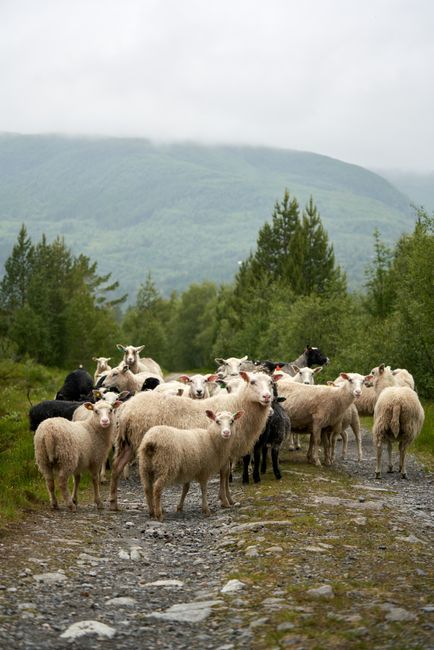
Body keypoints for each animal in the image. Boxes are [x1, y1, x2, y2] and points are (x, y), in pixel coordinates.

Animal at [109, 370, 278, 511]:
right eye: (252, 382)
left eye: (271, 382)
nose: (267, 397)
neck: (239, 405)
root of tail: (126, 408)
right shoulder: (222, 448)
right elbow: (224, 474)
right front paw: (224, 500)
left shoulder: (226, 451)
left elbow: (226, 474)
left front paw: (229, 499)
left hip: (128, 443)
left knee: (116, 467)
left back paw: (114, 503)